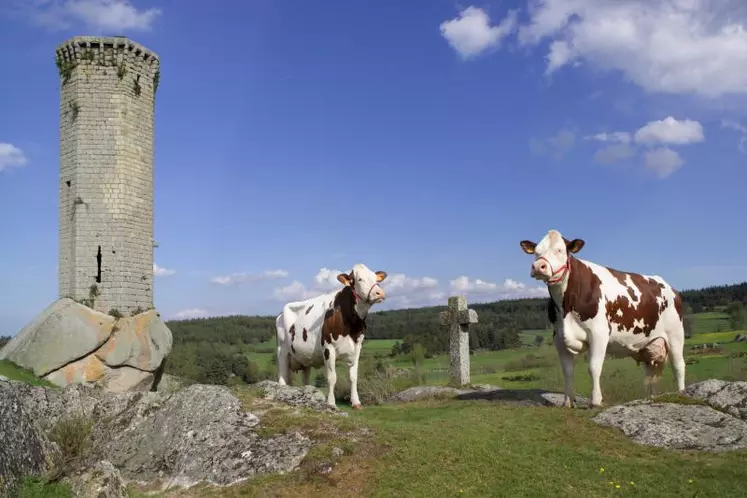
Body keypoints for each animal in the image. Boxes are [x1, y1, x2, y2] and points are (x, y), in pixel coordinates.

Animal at [278, 264, 388, 408]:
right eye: (359, 279)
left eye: (376, 279)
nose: (379, 293)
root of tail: (280, 314)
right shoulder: (328, 348)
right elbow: (332, 378)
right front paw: (331, 403)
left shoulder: (357, 347)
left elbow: (353, 377)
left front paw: (356, 402)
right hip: (282, 352)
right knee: (282, 378)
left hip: (304, 358)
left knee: (304, 379)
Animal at [520, 230, 684, 408]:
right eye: (537, 252)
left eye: (560, 250)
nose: (538, 267)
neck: (566, 307)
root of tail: (669, 287)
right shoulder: (559, 338)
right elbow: (568, 371)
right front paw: (567, 402)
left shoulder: (599, 333)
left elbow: (593, 367)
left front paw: (595, 401)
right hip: (648, 345)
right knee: (650, 373)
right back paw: (651, 399)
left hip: (675, 335)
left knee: (678, 366)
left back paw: (682, 394)